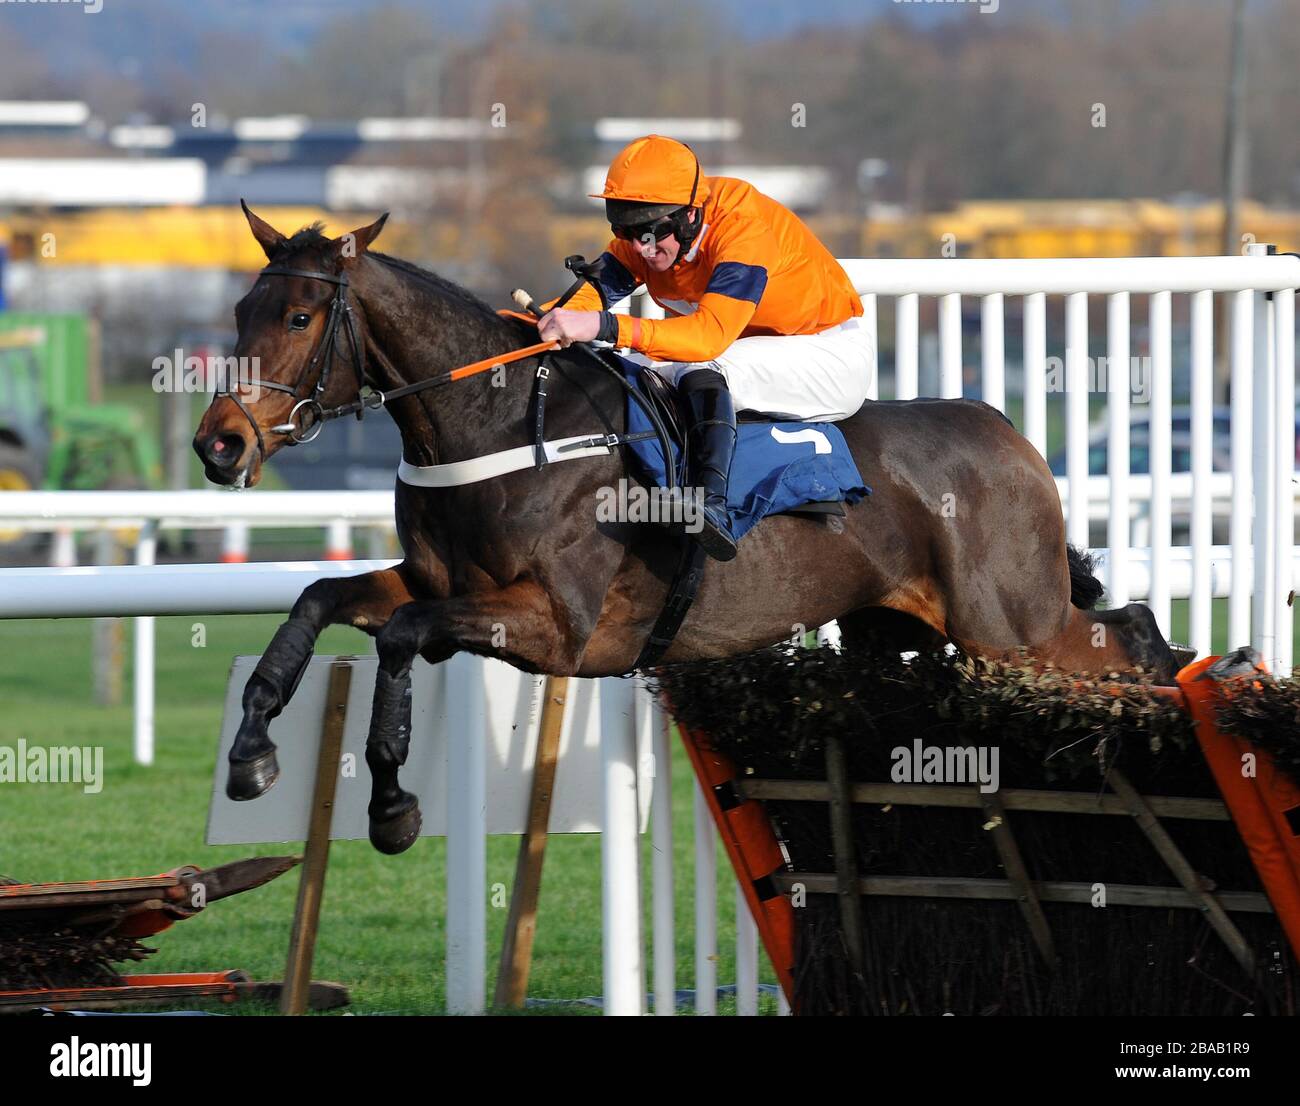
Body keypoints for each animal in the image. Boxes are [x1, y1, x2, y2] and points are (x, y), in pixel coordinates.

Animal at [197, 205, 1185, 857]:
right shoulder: (442, 585)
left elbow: (402, 636)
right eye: (240, 314)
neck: (500, 421)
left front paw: (393, 802)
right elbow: (317, 599)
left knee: (1132, 634)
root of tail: (1007, 429)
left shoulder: (559, 627)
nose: (219, 442)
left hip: (1011, 627)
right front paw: (251, 753)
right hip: (895, 628)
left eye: (299, 316)